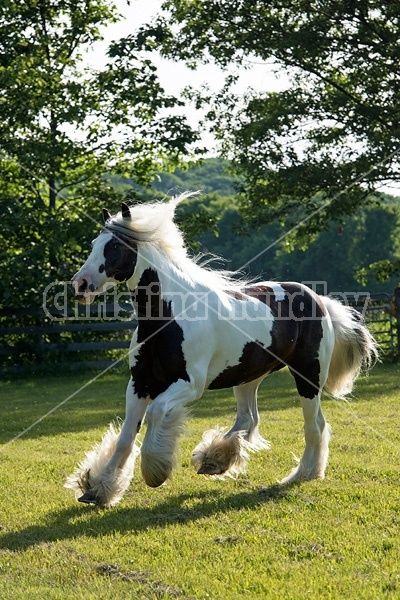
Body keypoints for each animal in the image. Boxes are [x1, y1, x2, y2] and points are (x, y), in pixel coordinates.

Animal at [65, 192, 378, 506]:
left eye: (116, 246)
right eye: (94, 244)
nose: (80, 284)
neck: (169, 316)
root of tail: (319, 299)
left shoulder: (189, 384)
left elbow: (156, 413)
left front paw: (155, 471)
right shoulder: (139, 383)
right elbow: (125, 438)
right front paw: (97, 488)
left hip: (308, 377)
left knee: (313, 426)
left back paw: (302, 474)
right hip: (247, 377)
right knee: (250, 419)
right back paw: (216, 459)